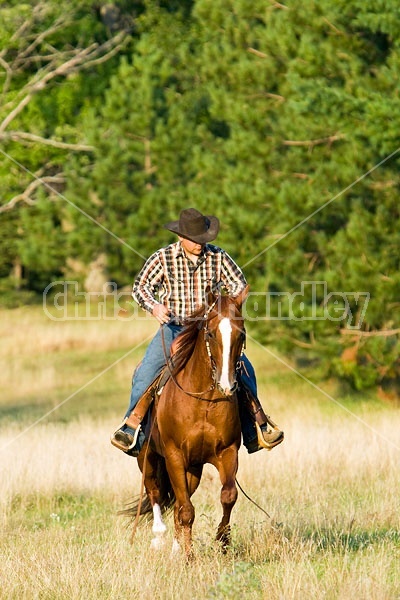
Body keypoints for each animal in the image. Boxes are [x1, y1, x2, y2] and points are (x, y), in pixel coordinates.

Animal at [134, 286, 247, 556]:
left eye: (241, 334)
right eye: (211, 333)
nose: (227, 385)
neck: (204, 402)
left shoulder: (228, 452)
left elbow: (228, 496)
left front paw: (222, 540)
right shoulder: (174, 456)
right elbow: (186, 510)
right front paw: (189, 557)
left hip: (193, 469)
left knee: (177, 501)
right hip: (147, 457)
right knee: (155, 491)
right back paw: (159, 537)